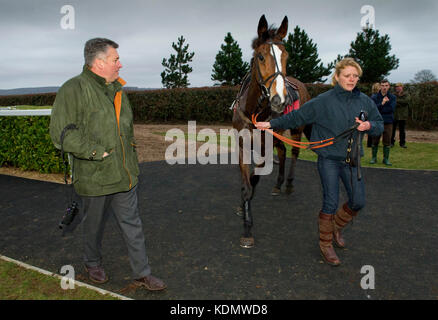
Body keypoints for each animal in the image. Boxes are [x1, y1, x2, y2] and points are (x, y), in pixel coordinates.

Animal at [233, 15, 312, 249]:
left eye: (285, 55)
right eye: (260, 56)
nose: (279, 100)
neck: (253, 110)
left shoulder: (264, 148)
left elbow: (254, 179)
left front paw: (247, 224)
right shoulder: (242, 145)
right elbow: (246, 183)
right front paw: (244, 211)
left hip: (295, 129)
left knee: (293, 153)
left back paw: (288, 183)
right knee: (284, 151)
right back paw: (278, 184)